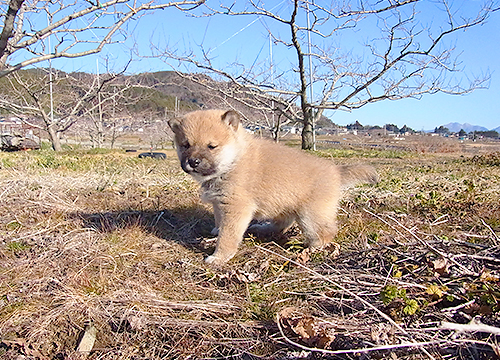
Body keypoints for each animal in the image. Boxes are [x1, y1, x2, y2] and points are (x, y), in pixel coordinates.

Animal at [169, 109, 378, 264]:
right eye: (185, 145)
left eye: (211, 146)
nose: (193, 161)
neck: (233, 161)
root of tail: (335, 171)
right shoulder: (220, 204)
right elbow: (220, 222)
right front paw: (216, 231)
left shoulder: (236, 207)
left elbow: (228, 236)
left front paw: (218, 257)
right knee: (282, 224)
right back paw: (261, 228)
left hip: (311, 215)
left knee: (324, 232)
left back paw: (313, 249)